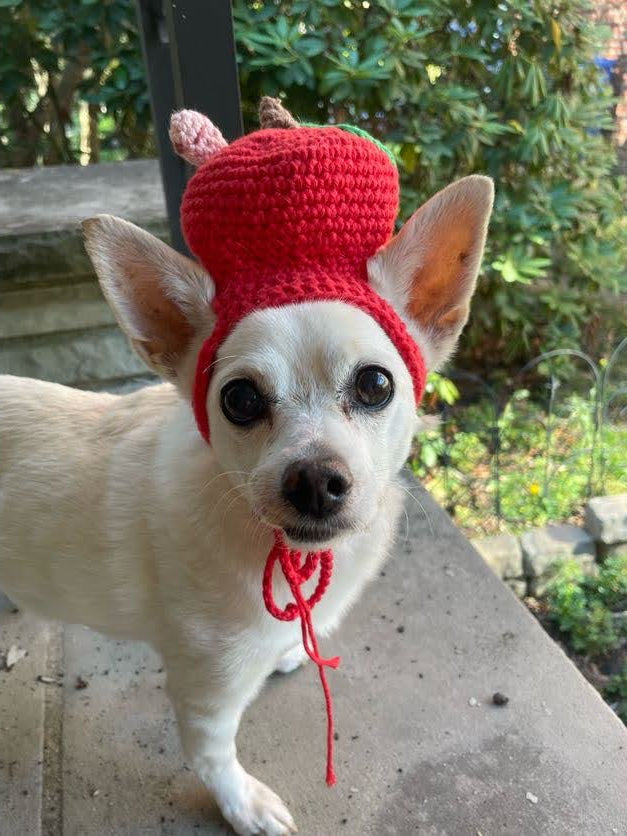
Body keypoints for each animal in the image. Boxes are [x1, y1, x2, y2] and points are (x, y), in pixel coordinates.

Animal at [0, 157, 490, 828]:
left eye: (375, 384)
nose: (314, 479)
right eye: (239, 399)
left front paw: (290, 649)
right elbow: (211, 754)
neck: (287, 556)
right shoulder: (205, 688)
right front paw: (242, 804)